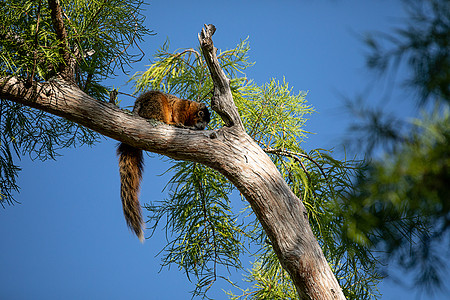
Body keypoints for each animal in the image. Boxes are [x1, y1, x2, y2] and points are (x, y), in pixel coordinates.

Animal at [114, 91, 209, 241]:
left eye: (207, 121)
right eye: (201, 114)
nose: (202, 127)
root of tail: (138, 107)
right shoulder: (182, 106)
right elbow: (178, 111)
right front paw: (181, 124)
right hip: (157, 103)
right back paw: (170, 123)